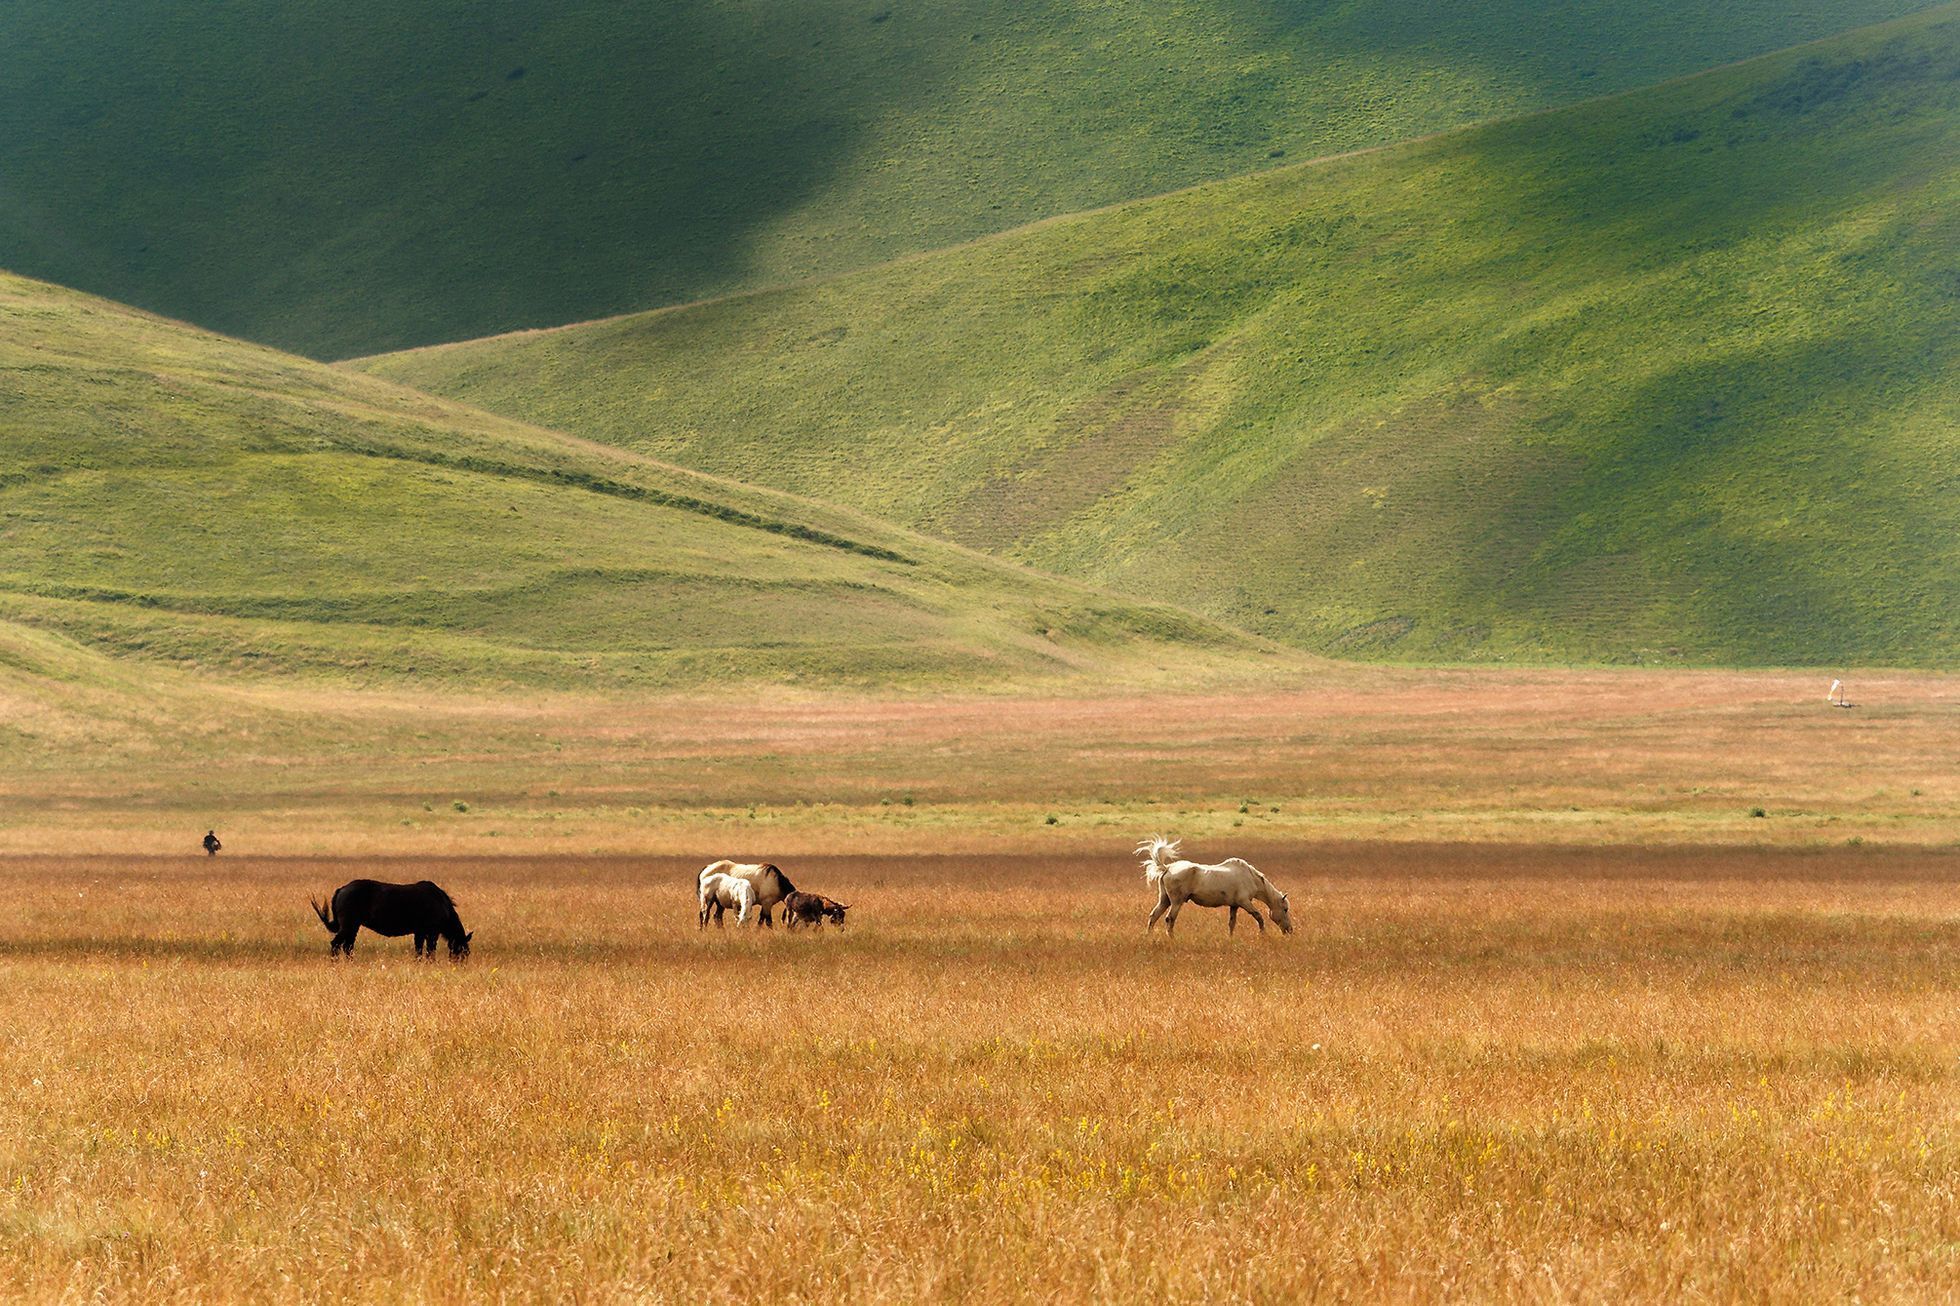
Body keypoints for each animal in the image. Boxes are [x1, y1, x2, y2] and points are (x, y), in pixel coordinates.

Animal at [307, 874, 472, 956]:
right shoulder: (432, 932)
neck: (442, 903)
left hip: (353, 927)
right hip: (348, 925)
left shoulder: (419, 932)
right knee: (336, 944)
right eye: (464, 951)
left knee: (347, 946)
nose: (461, 964)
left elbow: (419, 950)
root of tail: (342, 889)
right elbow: (430, 951)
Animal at [1144, 835, 1293, 937]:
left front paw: (1230, 938)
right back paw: (1171, 938)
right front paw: (1263, 935)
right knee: (1169, 919)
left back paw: (1149, 936)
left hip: (1165, 900)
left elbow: (1232, 923)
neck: (1250, 877)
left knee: (1154, 916)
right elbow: (1259, 917)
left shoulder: (1234, 905)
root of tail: (1167, 868)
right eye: (1285, 909)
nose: (1290, 930)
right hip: (1176, 902)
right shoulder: (1245, 902)